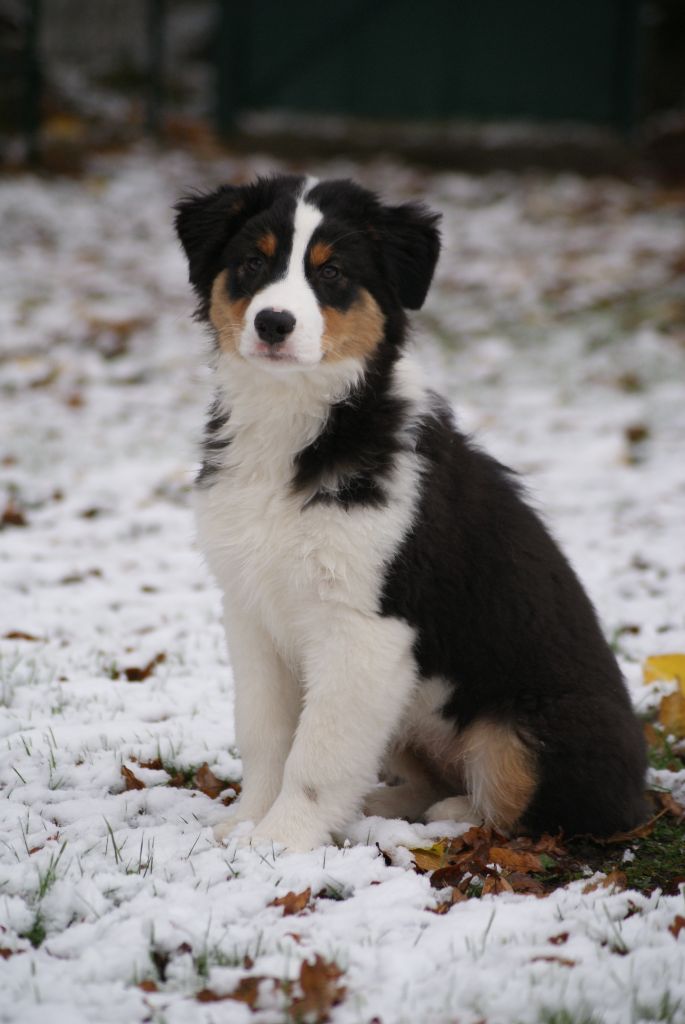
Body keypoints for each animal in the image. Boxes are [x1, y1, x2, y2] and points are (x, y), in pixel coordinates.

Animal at [175, 174, 647, 847]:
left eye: (333, 272)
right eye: (252, 263)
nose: (272, 322)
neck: (300, 428)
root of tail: (642, 789)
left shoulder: (366, 627)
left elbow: (316, 753)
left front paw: (279, 841)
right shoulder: (250, 609)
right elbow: (265, 732)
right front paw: (243, 822)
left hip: (523, 729)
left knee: (532, 809)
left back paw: (450, 819)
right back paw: (384, 807)